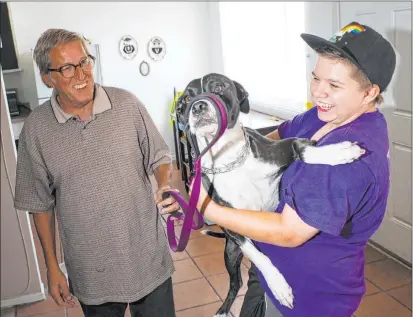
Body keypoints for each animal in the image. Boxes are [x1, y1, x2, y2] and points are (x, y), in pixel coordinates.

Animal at [175, 73, 362, 314]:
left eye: (218, 86)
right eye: (187, 99)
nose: (198, 106)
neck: (229, 159)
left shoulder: (282, 147)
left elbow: (302, 148)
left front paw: (336, 152)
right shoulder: (232, 223)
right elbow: (258, 256)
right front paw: (278, 286)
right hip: (230, 252)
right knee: (236, 282)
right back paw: (224, 309)